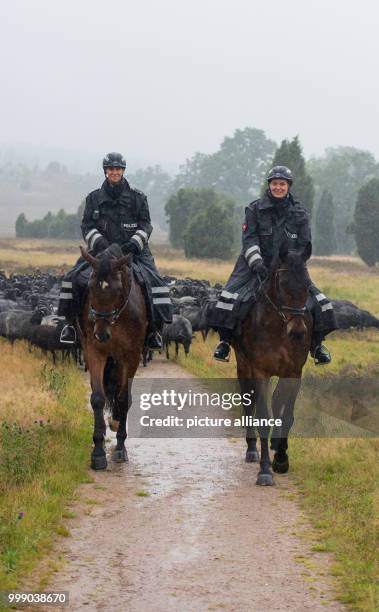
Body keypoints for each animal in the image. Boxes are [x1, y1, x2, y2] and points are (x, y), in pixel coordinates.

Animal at [79, 244, 148, 468]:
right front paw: (98, 452)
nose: (101, 334)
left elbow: (123, 399)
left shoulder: (131, 356)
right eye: (90, 286)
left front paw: (119, 448)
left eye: (117, 289)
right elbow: (98, 398)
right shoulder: (95, 351)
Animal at [236, 241, 314, 486]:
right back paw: (252, 449)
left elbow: (286, 414)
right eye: (283, 284)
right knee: (248, 400)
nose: (298, 332)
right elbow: (263, 416)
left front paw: (281, 458)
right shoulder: (259, 370)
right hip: (243, 366)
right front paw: (265, 469)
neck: (278, 328)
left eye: (308, 285)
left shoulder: (294, 372)